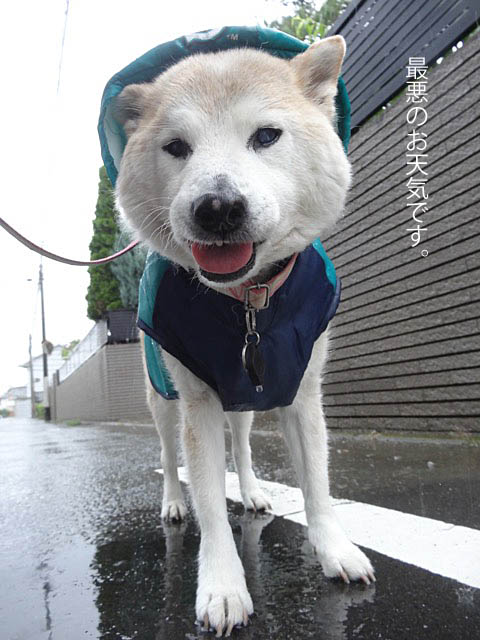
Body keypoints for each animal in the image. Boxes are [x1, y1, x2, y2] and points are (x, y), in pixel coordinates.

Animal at [113, 35, 376, 636]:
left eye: (266, 136)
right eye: (176, 147)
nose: (217, 207)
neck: (247, 301)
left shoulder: (302, 394)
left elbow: (318, 485)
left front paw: (334, 550)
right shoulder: (198, 403)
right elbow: (209, 500)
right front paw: (223, 586)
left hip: (246, 402)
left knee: (244, 446)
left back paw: (254, 492)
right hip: (163, 398)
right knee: (170, 457)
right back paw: (172, 503)